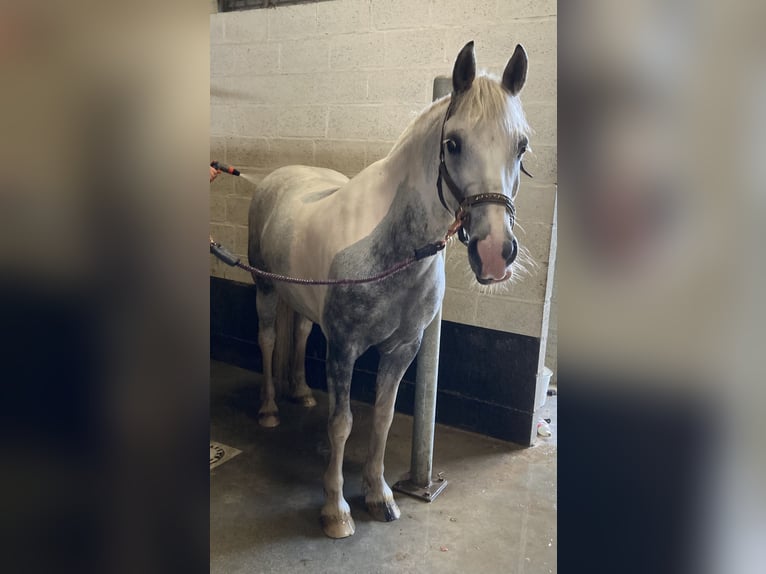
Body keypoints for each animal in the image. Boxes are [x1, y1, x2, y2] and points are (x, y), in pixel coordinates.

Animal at [249, 41, 532, 540]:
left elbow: (382, 417)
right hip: (264, 288)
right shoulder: (344, 348)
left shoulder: (403, 348)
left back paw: (300, 392)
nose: (495, 253)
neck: (392, 249)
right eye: (453, 142)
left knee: (298, 333)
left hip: (300, 297)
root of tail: (275, 178)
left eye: (522, 146)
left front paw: (379, 495)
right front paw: (336, 509)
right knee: (267, 341)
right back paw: (268, 410)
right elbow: (342, 423)